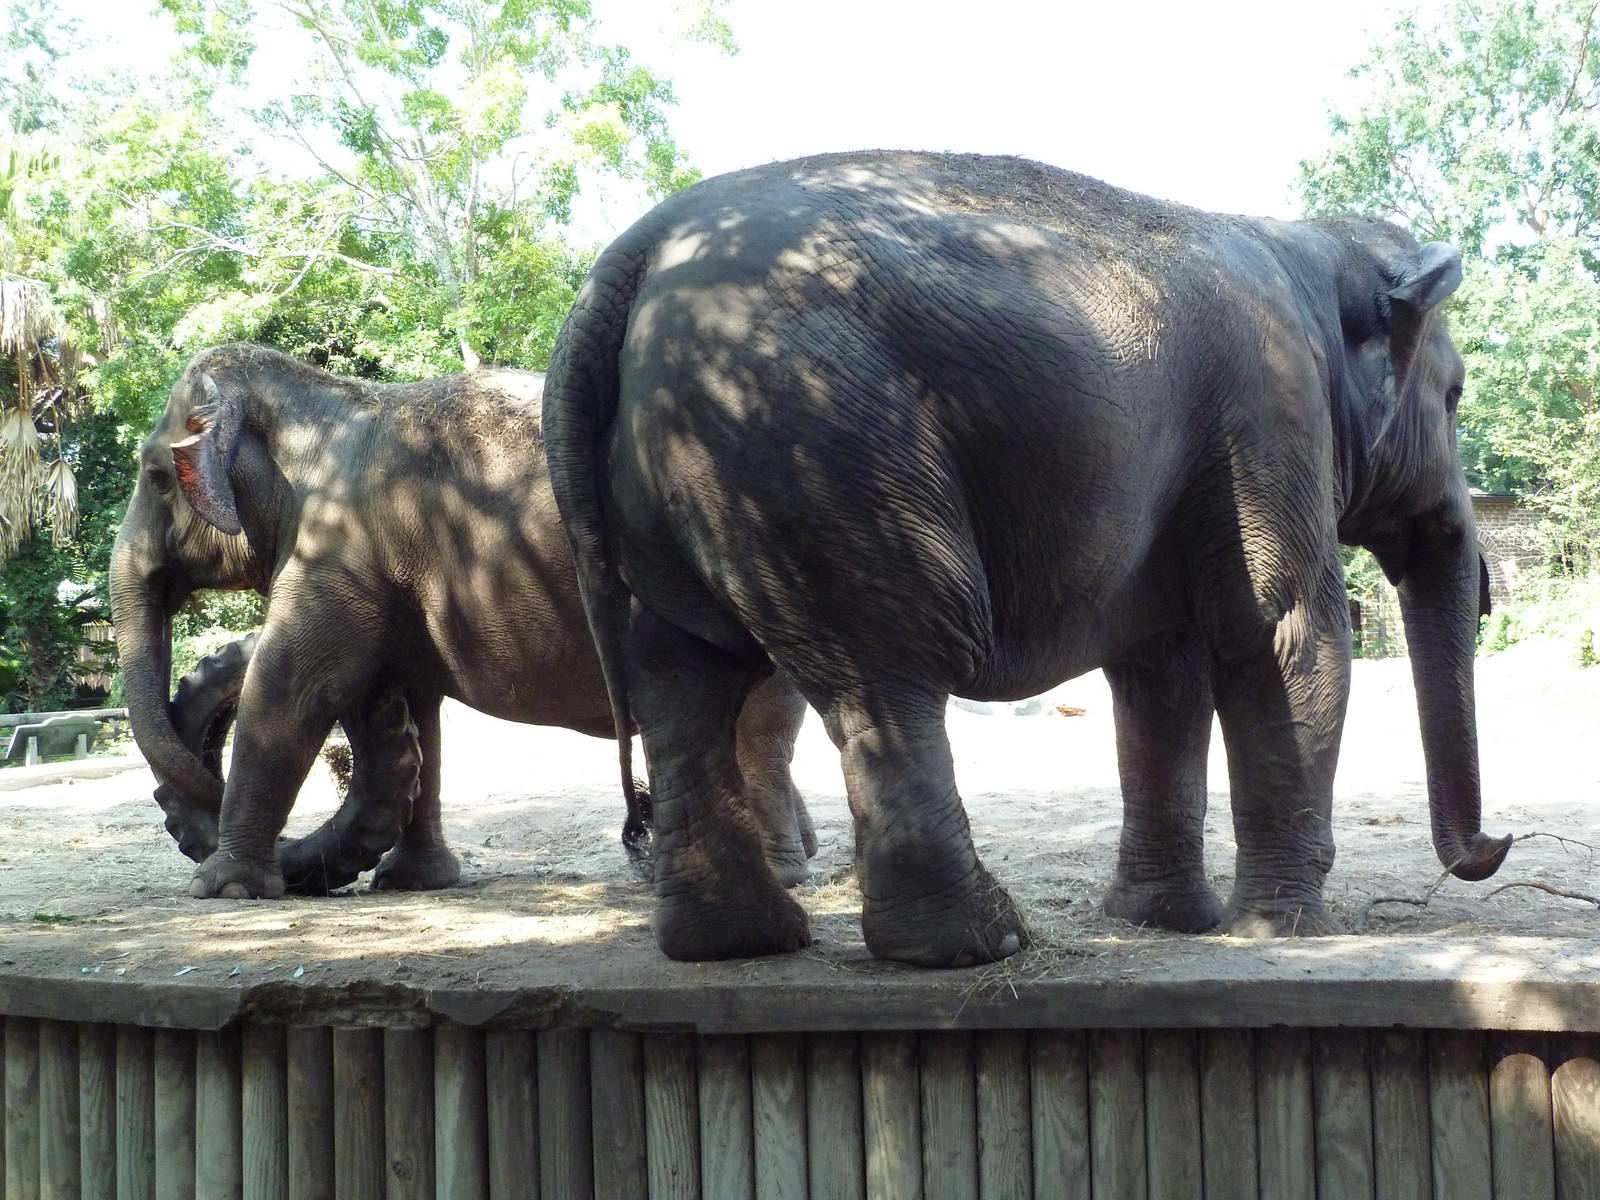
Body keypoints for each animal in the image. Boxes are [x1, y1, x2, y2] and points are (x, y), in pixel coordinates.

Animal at [110, 347, 815, 901]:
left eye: (157, 476)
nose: (210, 776)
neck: (321, 400)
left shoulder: (338, 550)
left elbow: (293, 687)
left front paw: (222, 890)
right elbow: (420, 713)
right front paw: (415, 880)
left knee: (759, 728)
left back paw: (778, 875)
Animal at [541, 150, 1512, 967]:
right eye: (1457, 397)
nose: (1495, 846)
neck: (1305, 247)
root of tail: (624, 266)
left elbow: (1162, 672)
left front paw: (1166, 922)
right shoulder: (1272, 412)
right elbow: (1282, 640)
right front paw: (1278, 935)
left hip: (681, 492)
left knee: (679, 687)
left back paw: (739, 943)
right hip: (818, 451)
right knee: (885, 676)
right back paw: (979, 943)